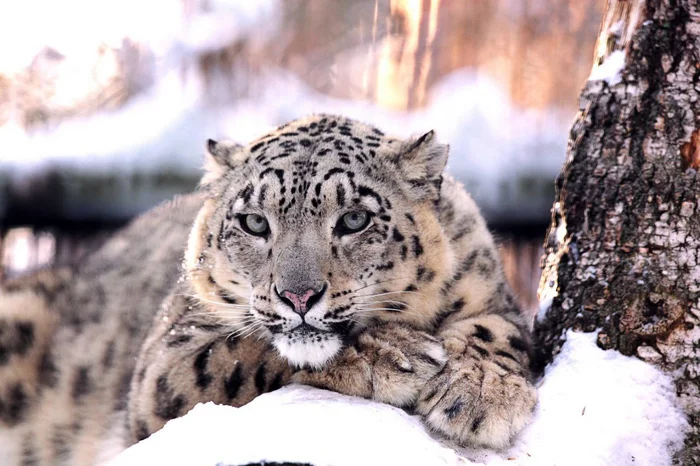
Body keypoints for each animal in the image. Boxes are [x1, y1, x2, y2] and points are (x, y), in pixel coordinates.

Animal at [0, 114, 536, 466]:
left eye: (355, 219)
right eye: (255, 222)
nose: (299, 296)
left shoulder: (489, 288)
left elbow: (497, 329)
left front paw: (480, 394)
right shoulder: (162, 362)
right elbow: (236, 355)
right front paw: (389, 355)